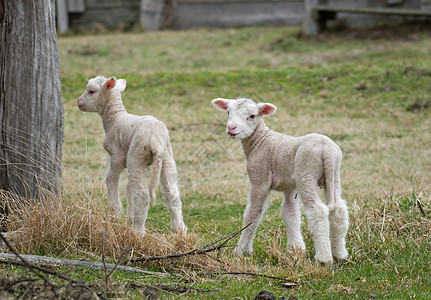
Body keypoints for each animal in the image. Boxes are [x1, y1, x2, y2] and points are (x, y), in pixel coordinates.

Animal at [78, 76, 186, 236]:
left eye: (91, 91)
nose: (78, 102)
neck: (115, 118)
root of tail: (155, 140)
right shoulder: (127, 160)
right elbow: (128, 188)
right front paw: (129, 218)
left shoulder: (116, 155)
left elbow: (111, 178)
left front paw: (115, 213)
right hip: (166, 156)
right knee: (171, 192)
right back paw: (179, 229)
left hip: (137, 155)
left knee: (142, 194)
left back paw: (138, 231)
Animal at [213, 97, 352, 264]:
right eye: (228, 112)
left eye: (252, 116)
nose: (231, 128)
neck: (260, 141)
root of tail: (326, 149)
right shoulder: (289, 186)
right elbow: (290, 214)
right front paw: (296, 249)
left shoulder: (259, 179)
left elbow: (252, 214)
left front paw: (240, 250)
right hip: (334, 175)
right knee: (339, 209)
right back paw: (340, 254)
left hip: (307, 174)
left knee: (317, 210)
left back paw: (324, 258)